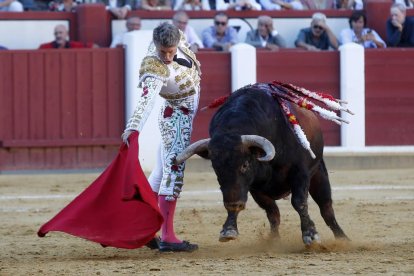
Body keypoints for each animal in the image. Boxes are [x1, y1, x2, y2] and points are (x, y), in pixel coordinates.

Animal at [175, 85, 350, 245]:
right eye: (216, 168)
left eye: (245, 165)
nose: (232, 203)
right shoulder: (254, 188)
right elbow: (271, 212)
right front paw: (231, 230)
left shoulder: (300, 173)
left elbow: (299, 202)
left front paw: (310, 234)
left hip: (318, 173)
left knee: (326, 209)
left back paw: (343, 238)